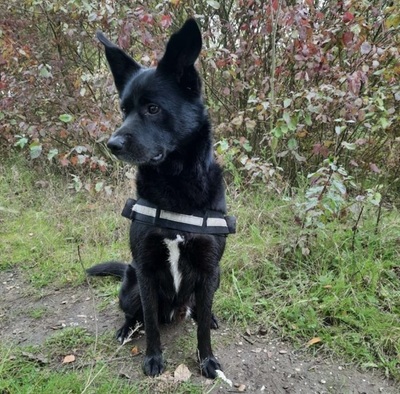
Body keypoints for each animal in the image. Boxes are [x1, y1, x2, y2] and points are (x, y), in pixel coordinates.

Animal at [86, 18, 233, 378]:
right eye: (124, 110)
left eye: (153, 108)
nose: (112, 145)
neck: (175, 188)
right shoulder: (147, 271)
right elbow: (151, 323)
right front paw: (153, 358)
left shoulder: (209, 268)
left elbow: (202, 329)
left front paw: (207, 360)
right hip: (131, 285)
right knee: (136, 313)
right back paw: (126, 329)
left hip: (217, 277)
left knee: (198, 311)